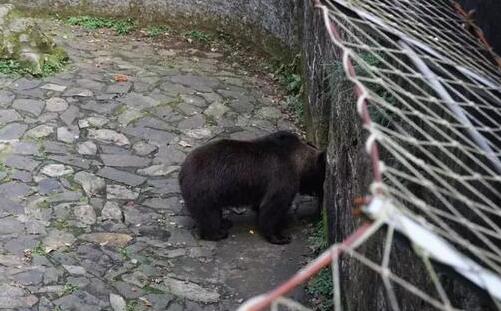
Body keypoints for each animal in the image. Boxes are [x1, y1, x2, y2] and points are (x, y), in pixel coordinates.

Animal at [178, 130, 326, 245]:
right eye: (321, 178)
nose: (320, 194)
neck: (298, 163)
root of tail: (182, 170)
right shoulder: (282, 178)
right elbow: (272, 208)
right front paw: (280, 237)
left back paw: (225, 222)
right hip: (206, 189)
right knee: (209, 215)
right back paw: (219, 232)